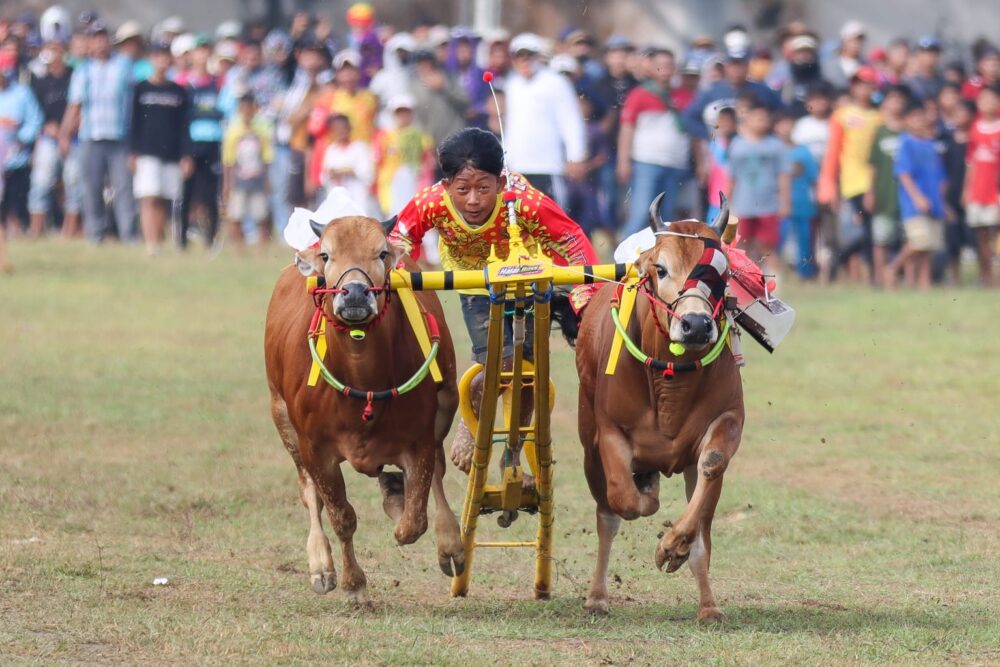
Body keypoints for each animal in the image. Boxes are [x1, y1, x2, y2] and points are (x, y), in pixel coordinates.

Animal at [264, 217, 462, 608]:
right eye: (327, 254)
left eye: (381, 253)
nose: (354, 293)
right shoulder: (315, 449)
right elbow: (341, 516)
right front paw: (353, 585)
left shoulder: (420, 438)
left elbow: (414, 521)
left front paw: (401, 503)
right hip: (282, 420)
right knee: (309, 494)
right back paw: (320, 564)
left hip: (446, 404)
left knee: (436, 476)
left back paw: (445, 540)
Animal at [580, 197, 744, 620]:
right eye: (661, 268)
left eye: (721, 272)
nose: (696, 325)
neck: (670, 383)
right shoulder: (608, 432)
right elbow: (623, 500)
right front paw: (647, 495)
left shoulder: (728, 421)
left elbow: (711, 469)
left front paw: (672, 547)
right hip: (588, 446)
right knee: (608, 515)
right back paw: (596, 596)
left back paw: (707, 604)